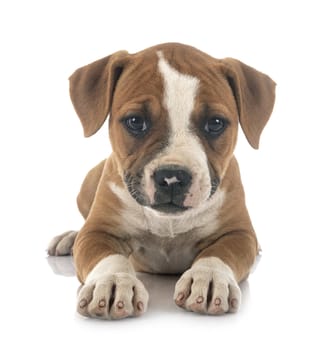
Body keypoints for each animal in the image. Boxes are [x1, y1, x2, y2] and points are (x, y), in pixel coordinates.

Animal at [47, 43, 274, 320]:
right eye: (135, 121)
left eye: (215, 123)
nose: (173, 177)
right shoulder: (97, 231)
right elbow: (109, 256)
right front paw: (114, 281)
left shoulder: (238, 234)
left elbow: (220, 253)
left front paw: (208, 277)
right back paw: (68, 237)